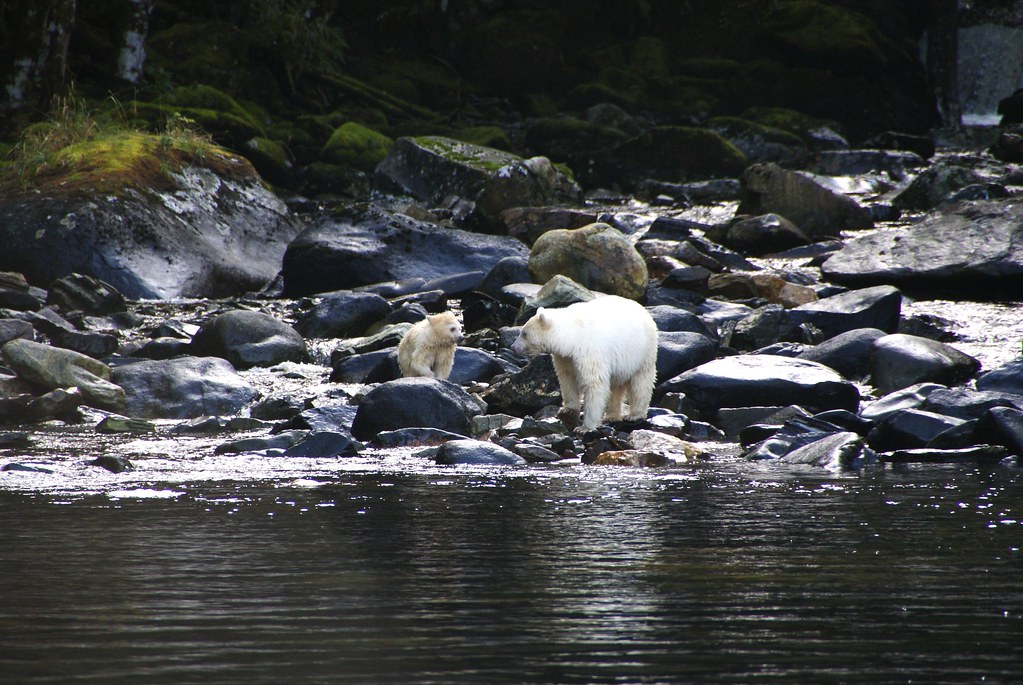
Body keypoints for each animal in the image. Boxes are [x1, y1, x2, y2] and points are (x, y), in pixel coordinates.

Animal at [511, 295, 658, 431]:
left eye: (524, 333)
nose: (513, 347)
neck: (573, 336)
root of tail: (643, 310)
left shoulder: (590, 351)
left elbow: (594, 383)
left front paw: (585, 427)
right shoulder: (566, 357)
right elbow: (567, 378)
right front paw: (568, 409)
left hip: (644, 351)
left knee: (641, 382)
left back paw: (635, 415)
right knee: (616, 385)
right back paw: (611, 416)